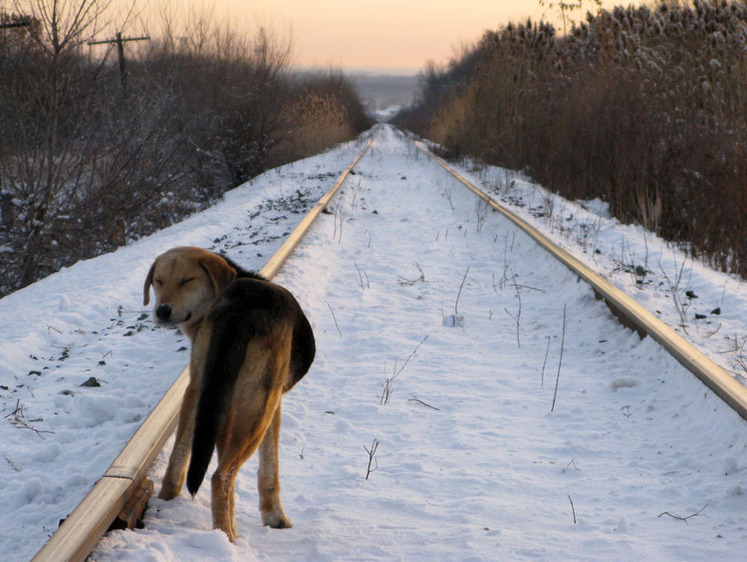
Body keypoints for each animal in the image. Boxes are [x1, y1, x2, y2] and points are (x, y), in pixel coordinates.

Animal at [144, 245, 316, 540]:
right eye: (159, 281)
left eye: (187, 280)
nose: (162, 311)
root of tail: (240, 311)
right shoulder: (274, 405)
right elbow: (269, 468)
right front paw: (275, 517)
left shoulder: (199, 390)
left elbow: (182, 455)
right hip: (257, 409)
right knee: (221, 476)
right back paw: (228, 537)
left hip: (206, 392)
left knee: (188, 468)